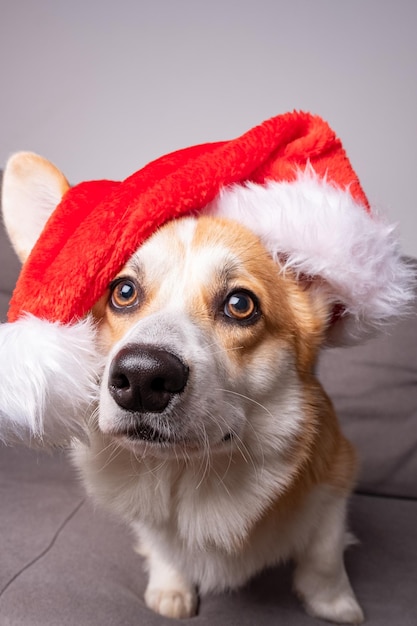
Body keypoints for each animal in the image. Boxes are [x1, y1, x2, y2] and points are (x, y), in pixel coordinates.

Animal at [0, 152, 364, 624]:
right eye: (123, 291)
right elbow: (162, 547)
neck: (188, 473)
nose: (141, 377)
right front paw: (170, 590)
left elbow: (324, 555)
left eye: (240, 304)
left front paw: (334, 604)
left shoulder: (336, 481)